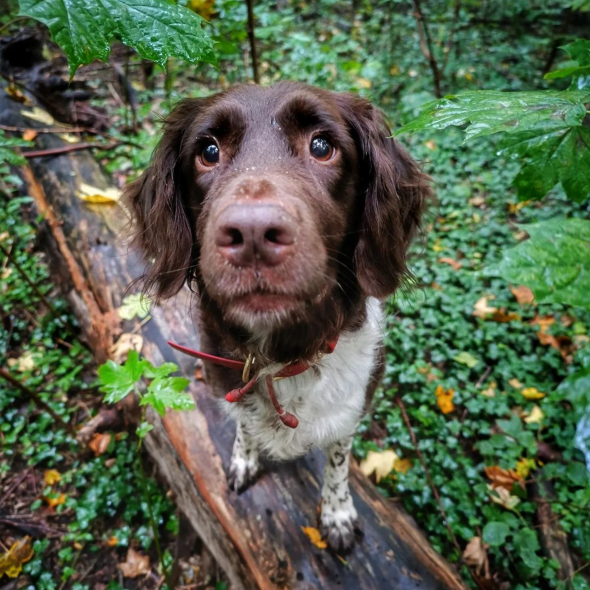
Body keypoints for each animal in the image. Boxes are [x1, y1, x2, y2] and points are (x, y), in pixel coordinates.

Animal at [127, 82, 432, 556]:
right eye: (208, 151)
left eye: (322, 146)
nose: (252, 234)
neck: (280, 360)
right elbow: (246, 424)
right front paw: (243, 457)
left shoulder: (352, 408)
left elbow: (338, 461)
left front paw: (338, 512)